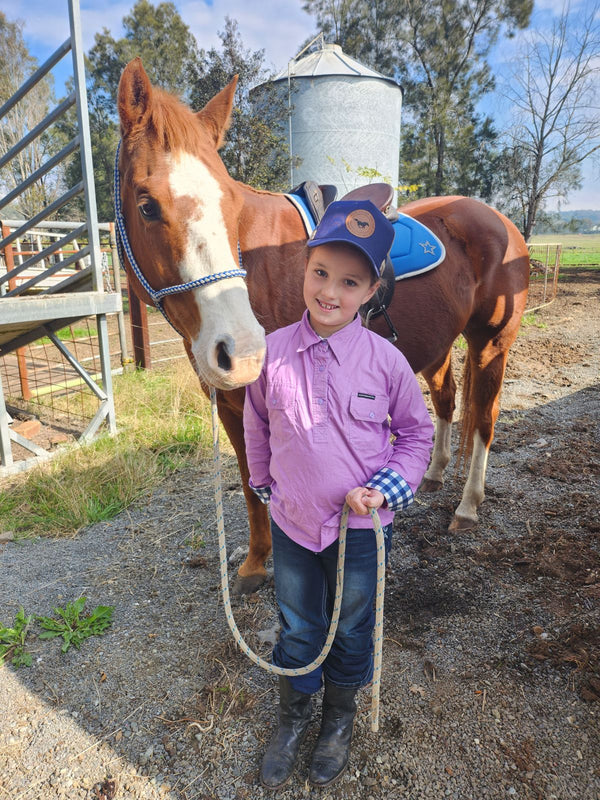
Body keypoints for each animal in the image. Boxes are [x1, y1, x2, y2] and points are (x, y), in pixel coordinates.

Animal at [117, 57, 528, 592]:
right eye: (146, 204)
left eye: (231, 204)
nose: (244, 351)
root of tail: (501, 221)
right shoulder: (232, 404)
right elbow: (251, 484)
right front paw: (254, 565)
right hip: (436, 347)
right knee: (445, 400)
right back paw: (434, 475)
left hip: (491, 343)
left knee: (483, 419)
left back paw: (468, 506)